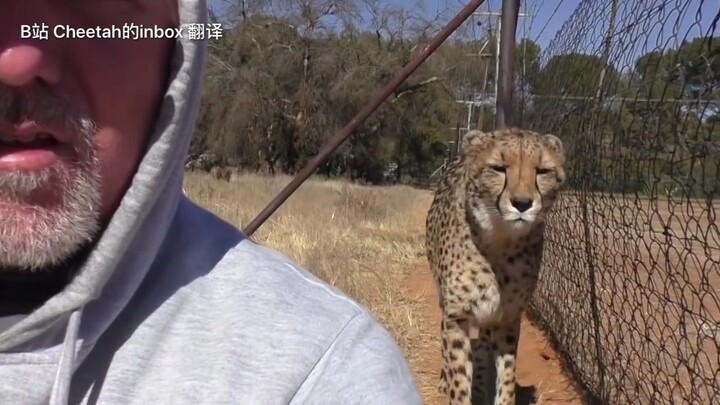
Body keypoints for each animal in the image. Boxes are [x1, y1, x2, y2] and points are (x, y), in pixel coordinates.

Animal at [425, 127, 566, 405]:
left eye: (543, 171)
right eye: (498, 168)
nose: (522, 203)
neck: (501, 242)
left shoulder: (508, 317)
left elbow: (507, 375)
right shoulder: (456, 316)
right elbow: (459, 377)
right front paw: (457, 388)